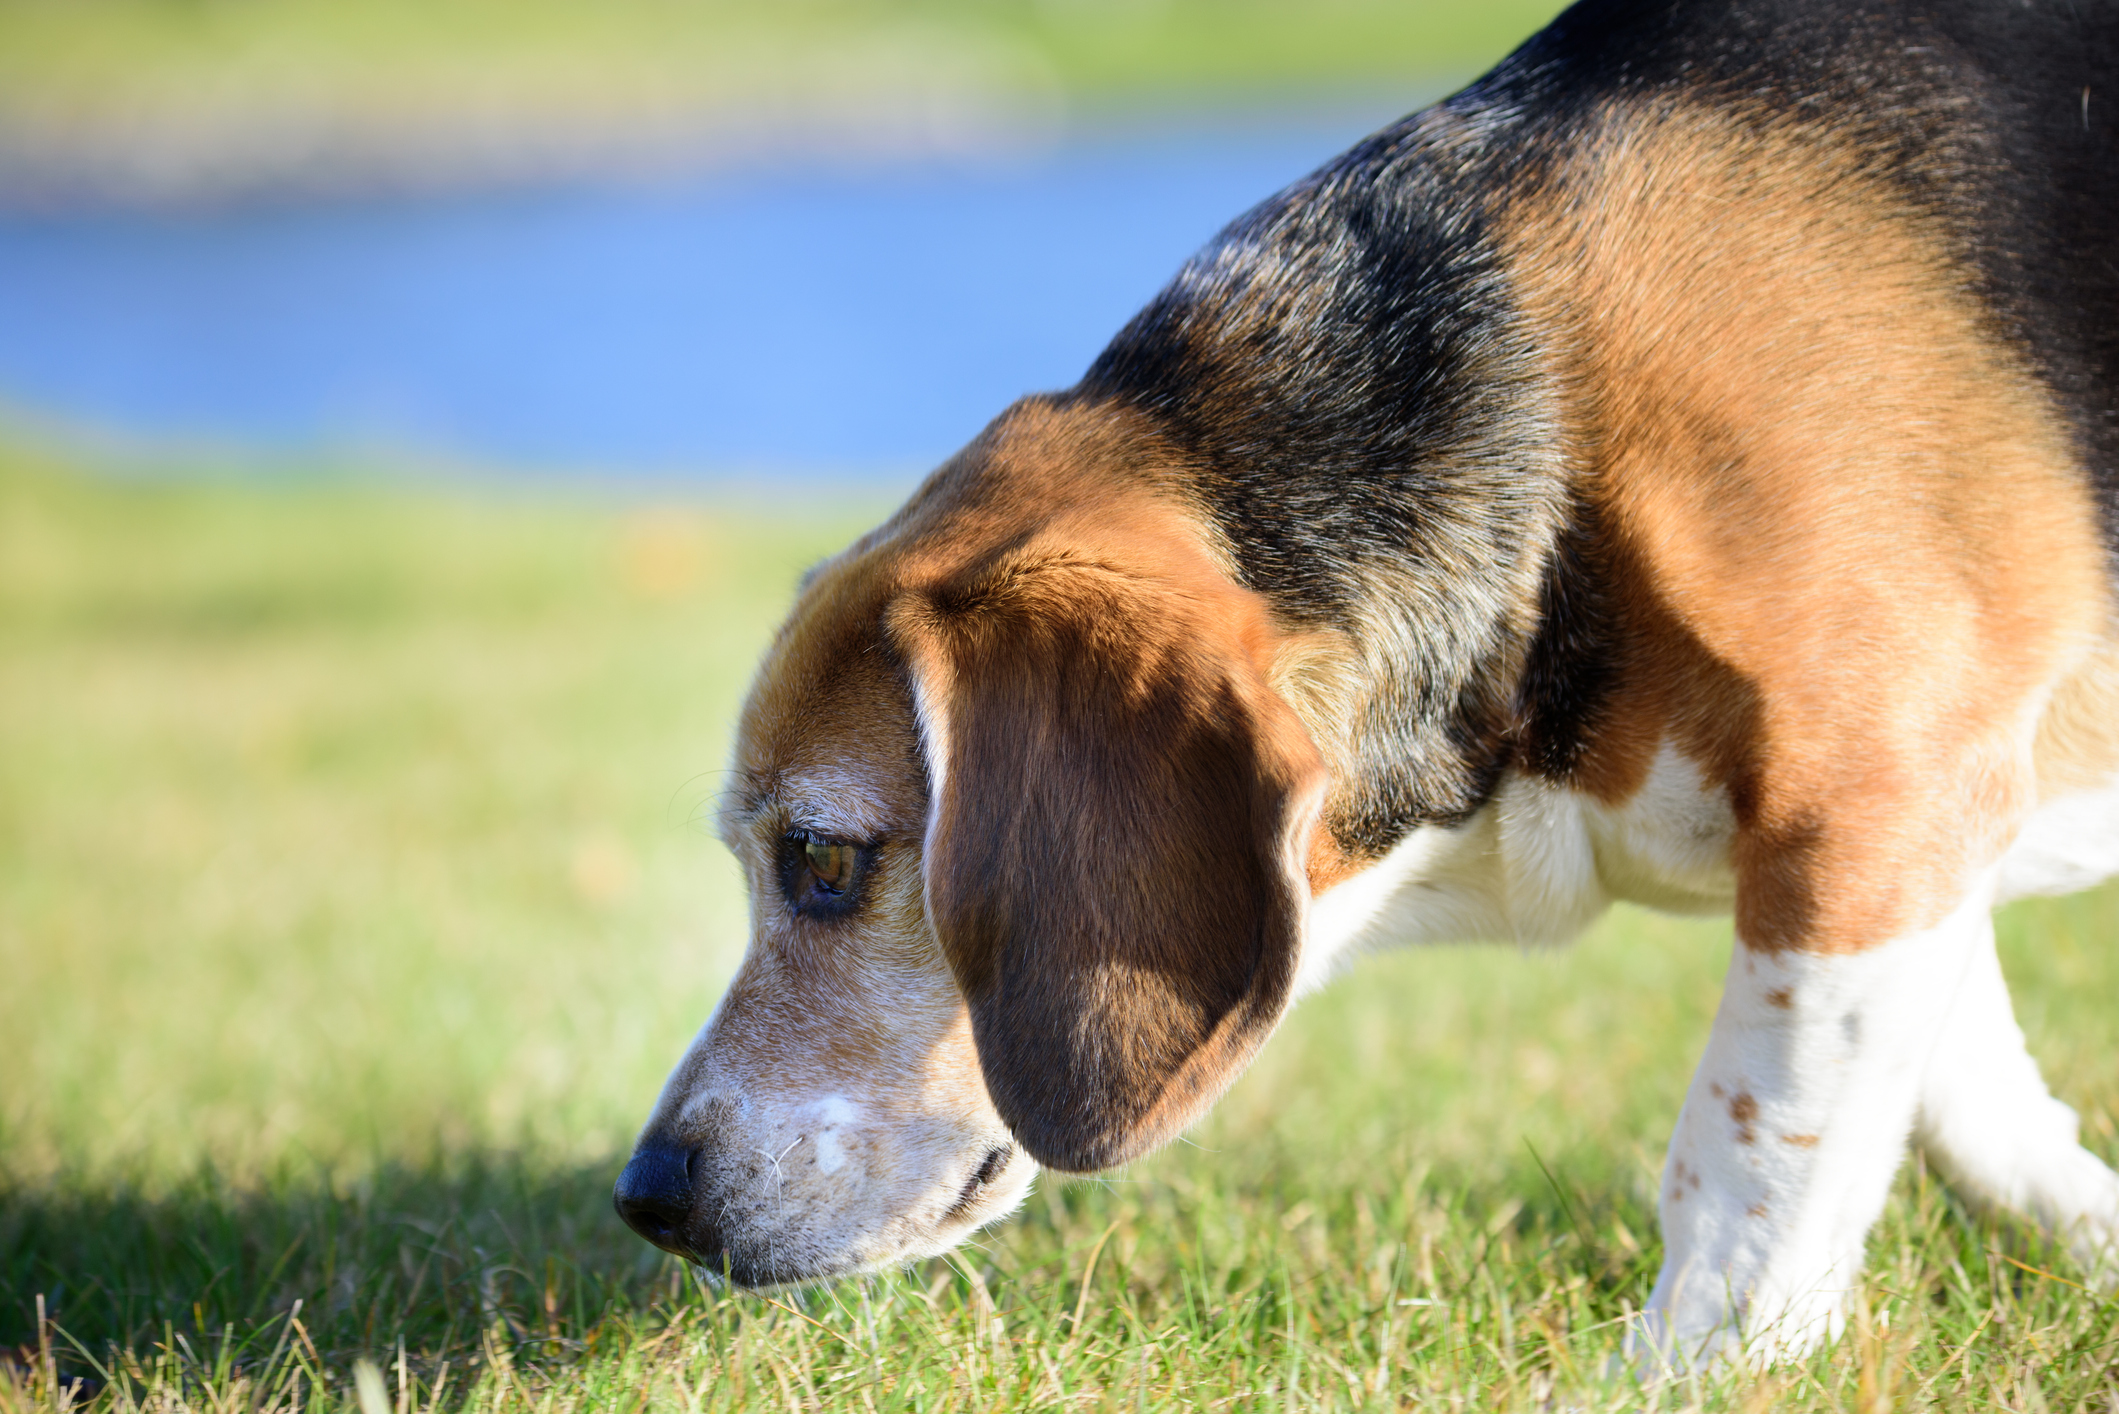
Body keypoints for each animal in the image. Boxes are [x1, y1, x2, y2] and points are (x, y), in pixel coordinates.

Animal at [614, 0, 2119, 1373]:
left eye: (821, 858)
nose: (644, 1195)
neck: (1551, 428)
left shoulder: (1864, 800)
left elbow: (1752, 1156)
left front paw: (1688, 1370)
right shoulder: (1908, 825)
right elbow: (1965, 1092)